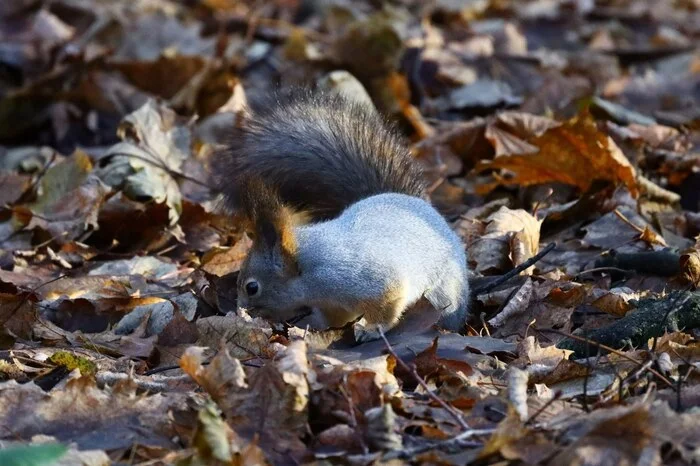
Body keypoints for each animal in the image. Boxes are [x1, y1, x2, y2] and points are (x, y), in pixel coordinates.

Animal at [212, 90, 470, 340]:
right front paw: (314, 326)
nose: (239, 310)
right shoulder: (333, 303)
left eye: (252, 287)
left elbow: (387, 307)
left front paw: (370, 329)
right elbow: (335, 318)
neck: (310, 270)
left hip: (445, 291)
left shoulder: (368, 281)